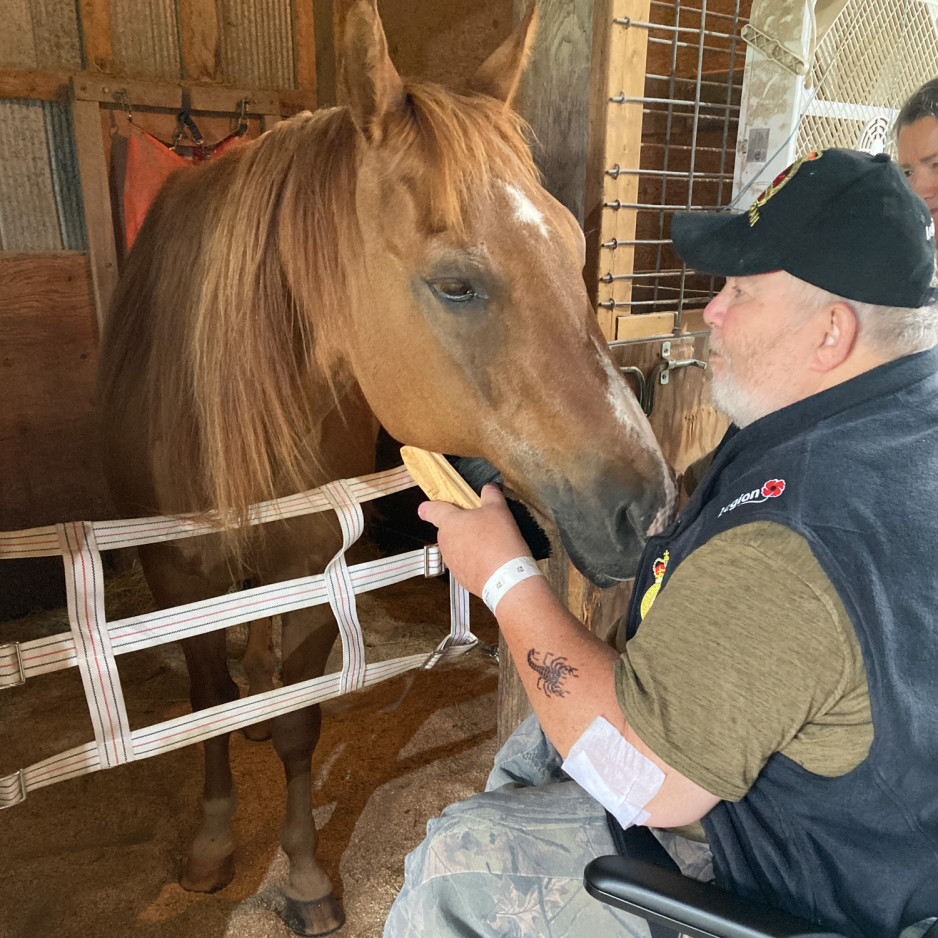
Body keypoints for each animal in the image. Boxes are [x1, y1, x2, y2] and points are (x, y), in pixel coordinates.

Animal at [97, 1, 672, 928]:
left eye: (573, 240)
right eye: (455, 285)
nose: (646, 508)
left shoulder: (305, 564)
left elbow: (297, 723)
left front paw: (301, 875)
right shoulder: (172, 573)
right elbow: (204, 704)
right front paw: (215, 843)